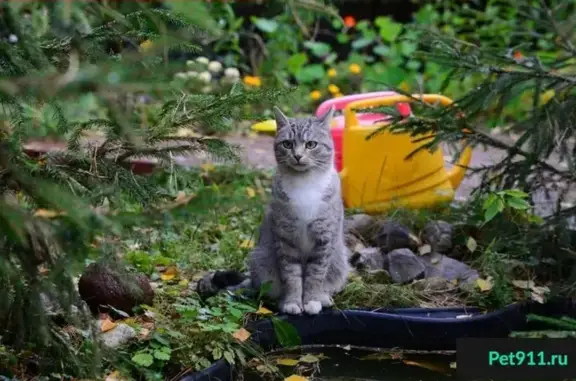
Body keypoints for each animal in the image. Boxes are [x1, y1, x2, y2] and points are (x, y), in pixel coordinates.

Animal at [249, 105, 352, 314]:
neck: (305, 183)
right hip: (261, 260)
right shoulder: (285, 238)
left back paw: (323, 297)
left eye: (311, 144)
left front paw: (312, 300)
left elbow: (316, 275)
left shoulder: (324, 238)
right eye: (287, 144)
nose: (297, 155)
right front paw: (293, 302)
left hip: (339, 260)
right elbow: (292, 276)